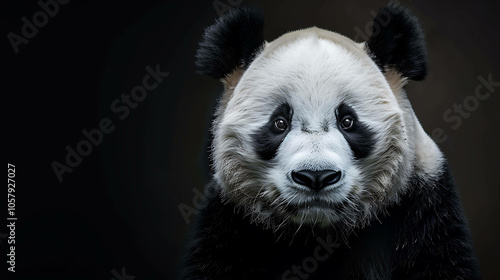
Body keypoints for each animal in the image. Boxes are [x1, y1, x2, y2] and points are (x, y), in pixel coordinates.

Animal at [179, 2, 480, 280]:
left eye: (348, 121)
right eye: (279, 123)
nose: (316, 176)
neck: (316, 232)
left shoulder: (421, 210)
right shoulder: (231, 221)